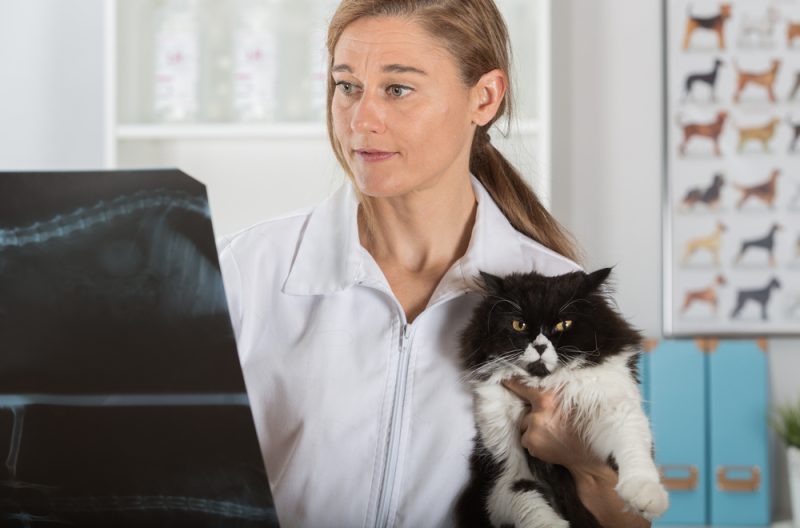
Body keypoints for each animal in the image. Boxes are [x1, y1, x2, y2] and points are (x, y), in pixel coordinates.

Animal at [456, 268, 668, 528]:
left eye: (563, 324)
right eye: (519, 324)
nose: (539, 346)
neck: (543, 382)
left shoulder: (613, 404)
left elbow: (631, 443)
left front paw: (647, 495)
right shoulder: (505, 468)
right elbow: (527, 497)